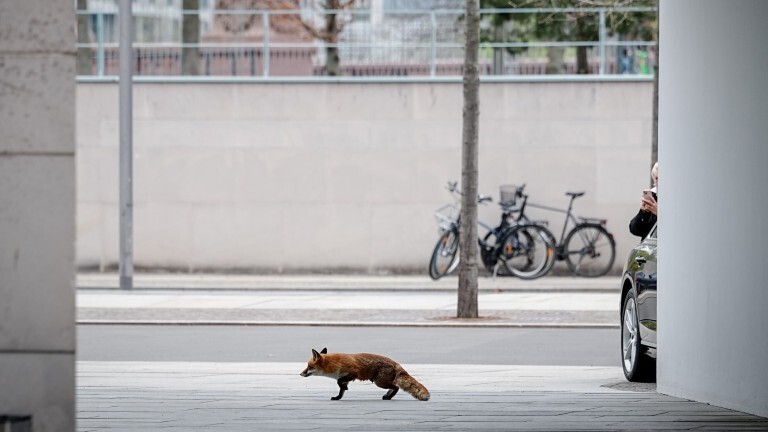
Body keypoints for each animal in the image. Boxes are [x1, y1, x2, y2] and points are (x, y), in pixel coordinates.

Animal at [299, 348, 430, 401]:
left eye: (309, 367)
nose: (300, 374)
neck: (333, 364)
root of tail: (397, 364)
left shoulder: (353, 373)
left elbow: (339, 382)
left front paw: (344, 389)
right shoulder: (345, 377)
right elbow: (341, 390)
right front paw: (338, 397)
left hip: (379, 382)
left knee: (396, 387)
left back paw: (388, 397)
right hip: (382, 382)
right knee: (394, 387)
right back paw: (388, 396)